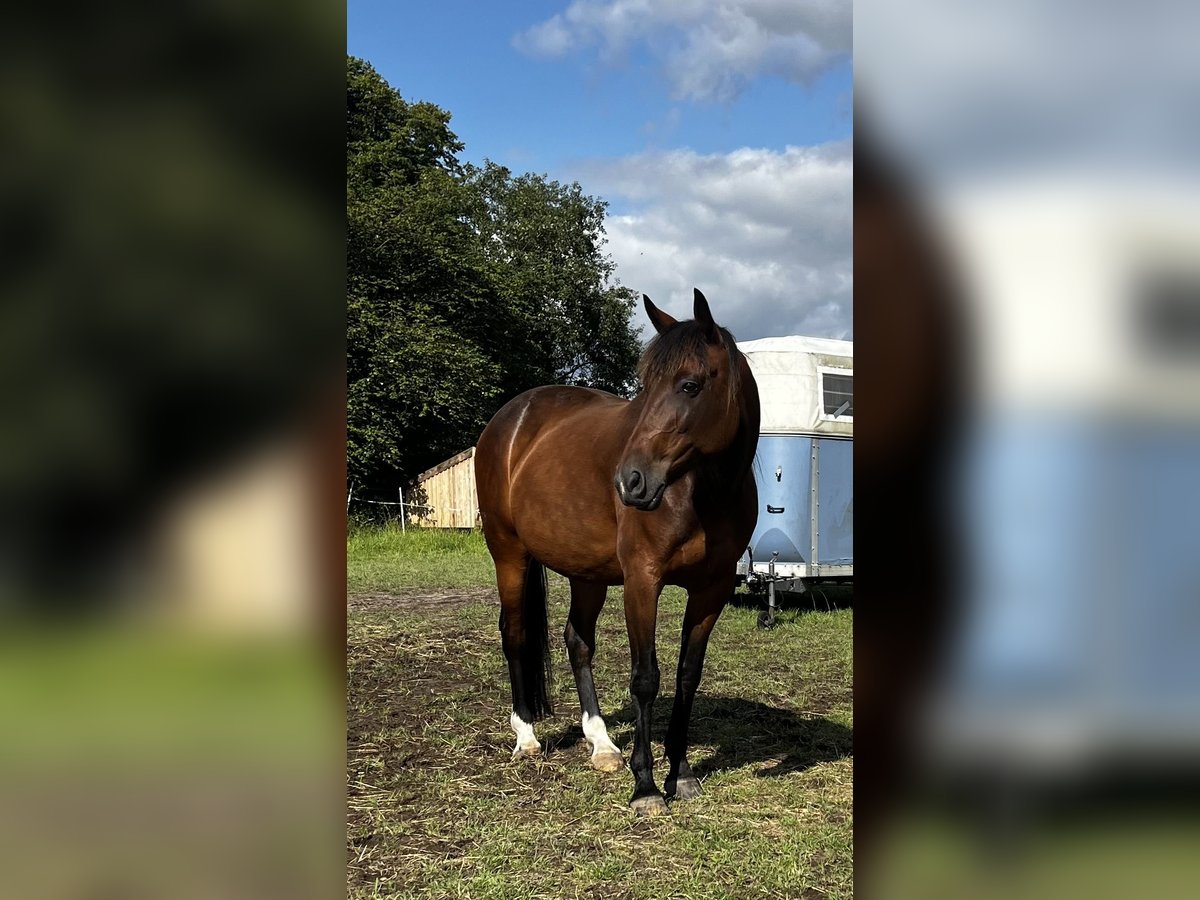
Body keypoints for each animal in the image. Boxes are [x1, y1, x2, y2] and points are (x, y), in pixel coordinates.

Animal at [470, 289, 758, 816]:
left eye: (689, 385)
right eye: (644, 387)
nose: (630, 482)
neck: (703, 492)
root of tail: (510, 418)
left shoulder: (712, 589)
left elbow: (687, 676)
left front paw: (681, 773)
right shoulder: (643, 580)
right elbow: (646, 677)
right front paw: (646, 787)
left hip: (587, 574)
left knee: (577, 641)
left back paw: (602, 744)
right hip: (509, 554)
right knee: (515, 633)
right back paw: (526, 736)